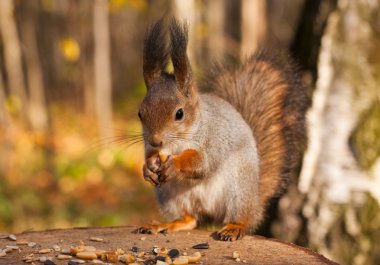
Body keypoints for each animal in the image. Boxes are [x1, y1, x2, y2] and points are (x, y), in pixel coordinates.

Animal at [137, 19, 308, 240]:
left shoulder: (216, 138)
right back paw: (167, 224)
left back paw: (235, 227)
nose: (156, 140)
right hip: (170, 196)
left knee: (242, 217)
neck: (178, 143)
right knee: (191, 219)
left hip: (239, 189)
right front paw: (147, 167)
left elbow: (203, 162)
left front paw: (175, 164)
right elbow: (150, 157)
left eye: (179, 113)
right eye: (140, 113)